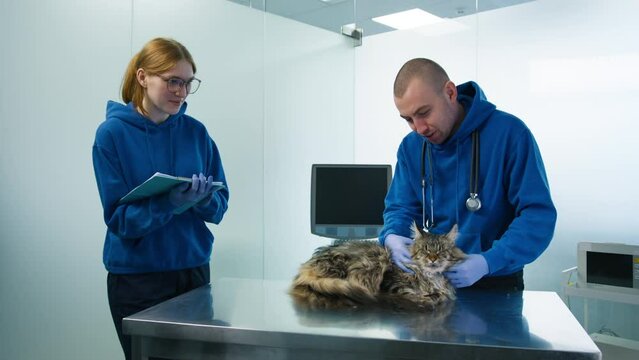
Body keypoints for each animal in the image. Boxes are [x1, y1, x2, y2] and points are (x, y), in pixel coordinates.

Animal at [290, 222, 464, 310]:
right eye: (425, 250)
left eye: (441, 251)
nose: (433, 259)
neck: (429, 277)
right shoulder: (391, 282)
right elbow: (415, 293)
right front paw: (427, 299)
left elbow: (442, 295)